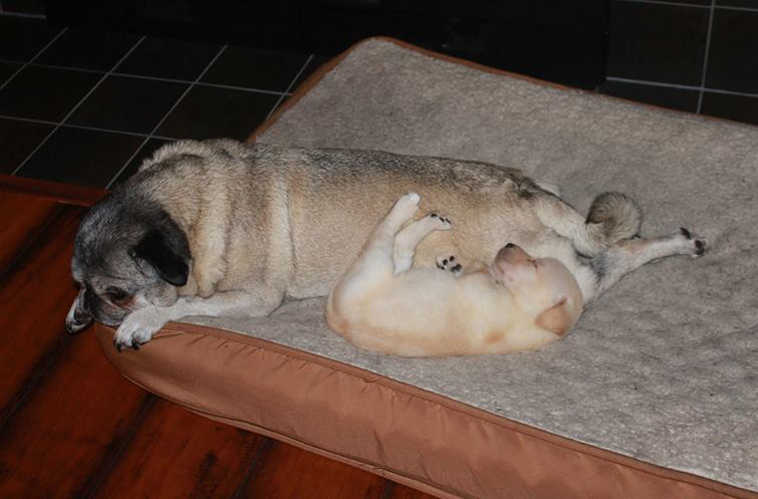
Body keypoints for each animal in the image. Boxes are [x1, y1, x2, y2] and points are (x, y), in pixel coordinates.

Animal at [326, 193, 580, 358]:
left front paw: (463, 266)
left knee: (390, 233)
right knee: (402, 245)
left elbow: (480, 268)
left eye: (534, 263)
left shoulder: (481, 286)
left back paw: (409, 206)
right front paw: (452, 265)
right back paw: (434, 222)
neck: (526, 314)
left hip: (375, 263)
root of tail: (334, 316)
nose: (509, 244)